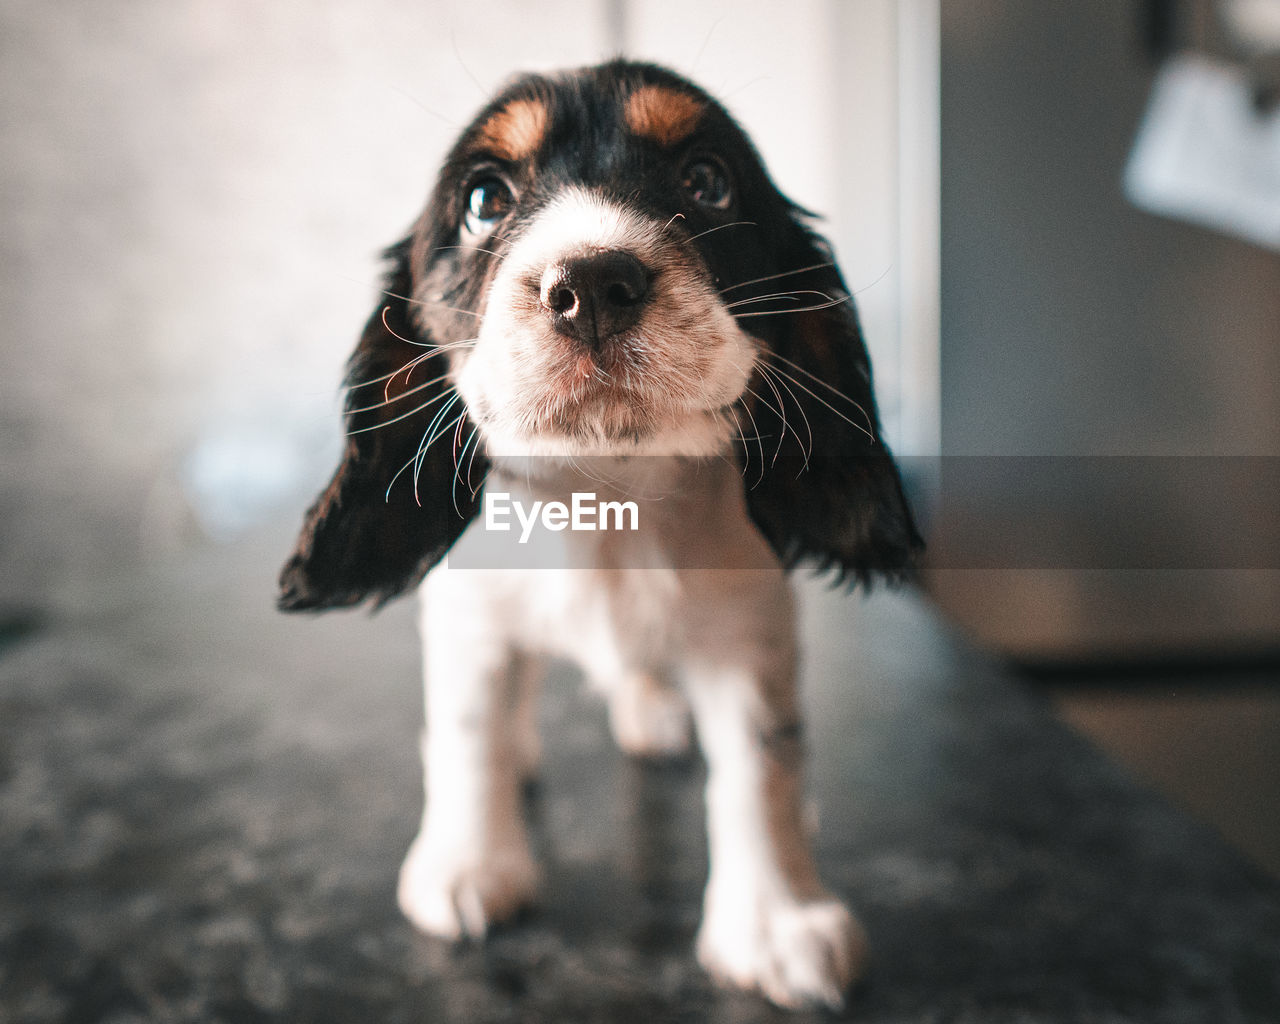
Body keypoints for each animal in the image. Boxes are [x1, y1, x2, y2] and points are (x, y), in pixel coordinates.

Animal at [280, 60, 921, 1013]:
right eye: (484, 200)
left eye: (706, 181)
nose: (592, 286)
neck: (605, 494)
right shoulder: (469, 617)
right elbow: (467, 733)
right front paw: (469, 866)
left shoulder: (748, 626)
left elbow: (762, 765)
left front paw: (777, 922)